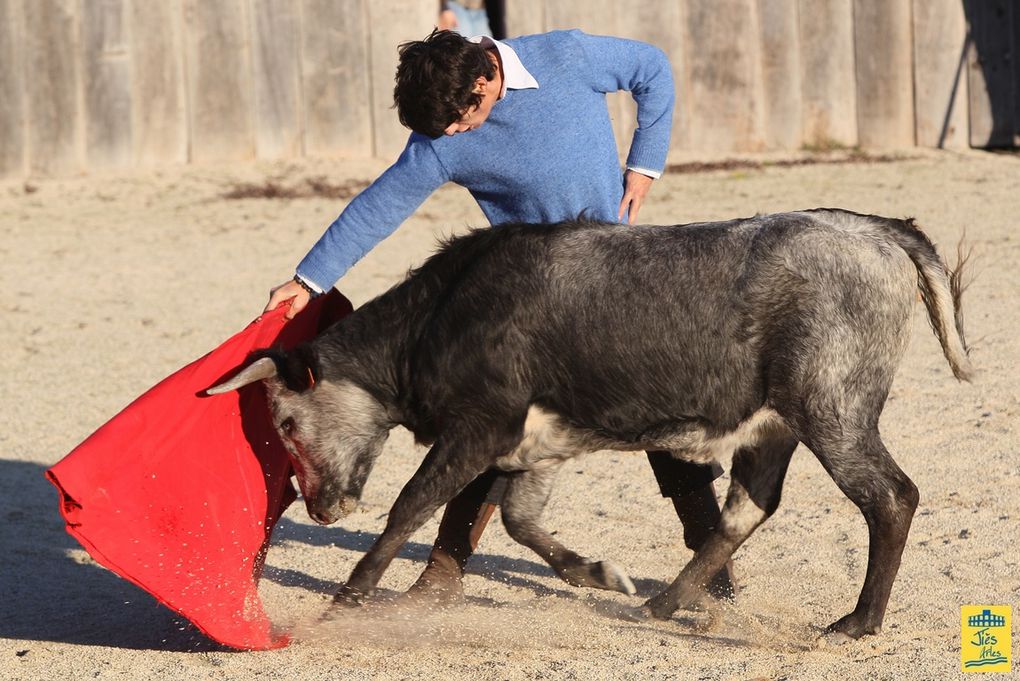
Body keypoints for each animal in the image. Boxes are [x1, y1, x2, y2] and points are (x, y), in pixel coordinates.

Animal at [211, 207, 966, 640]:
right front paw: (600, 574)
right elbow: (520, 520)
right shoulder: (532, 448)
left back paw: (858, 623)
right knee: (746, 510)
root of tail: (881, 232)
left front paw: (347, 599)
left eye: (285, 420)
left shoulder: (478, 429)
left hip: (834, 412)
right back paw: (658, 605)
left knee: (890, 497)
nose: (321, 509)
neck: (440, 315)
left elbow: (410, 506)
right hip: (774, 426)